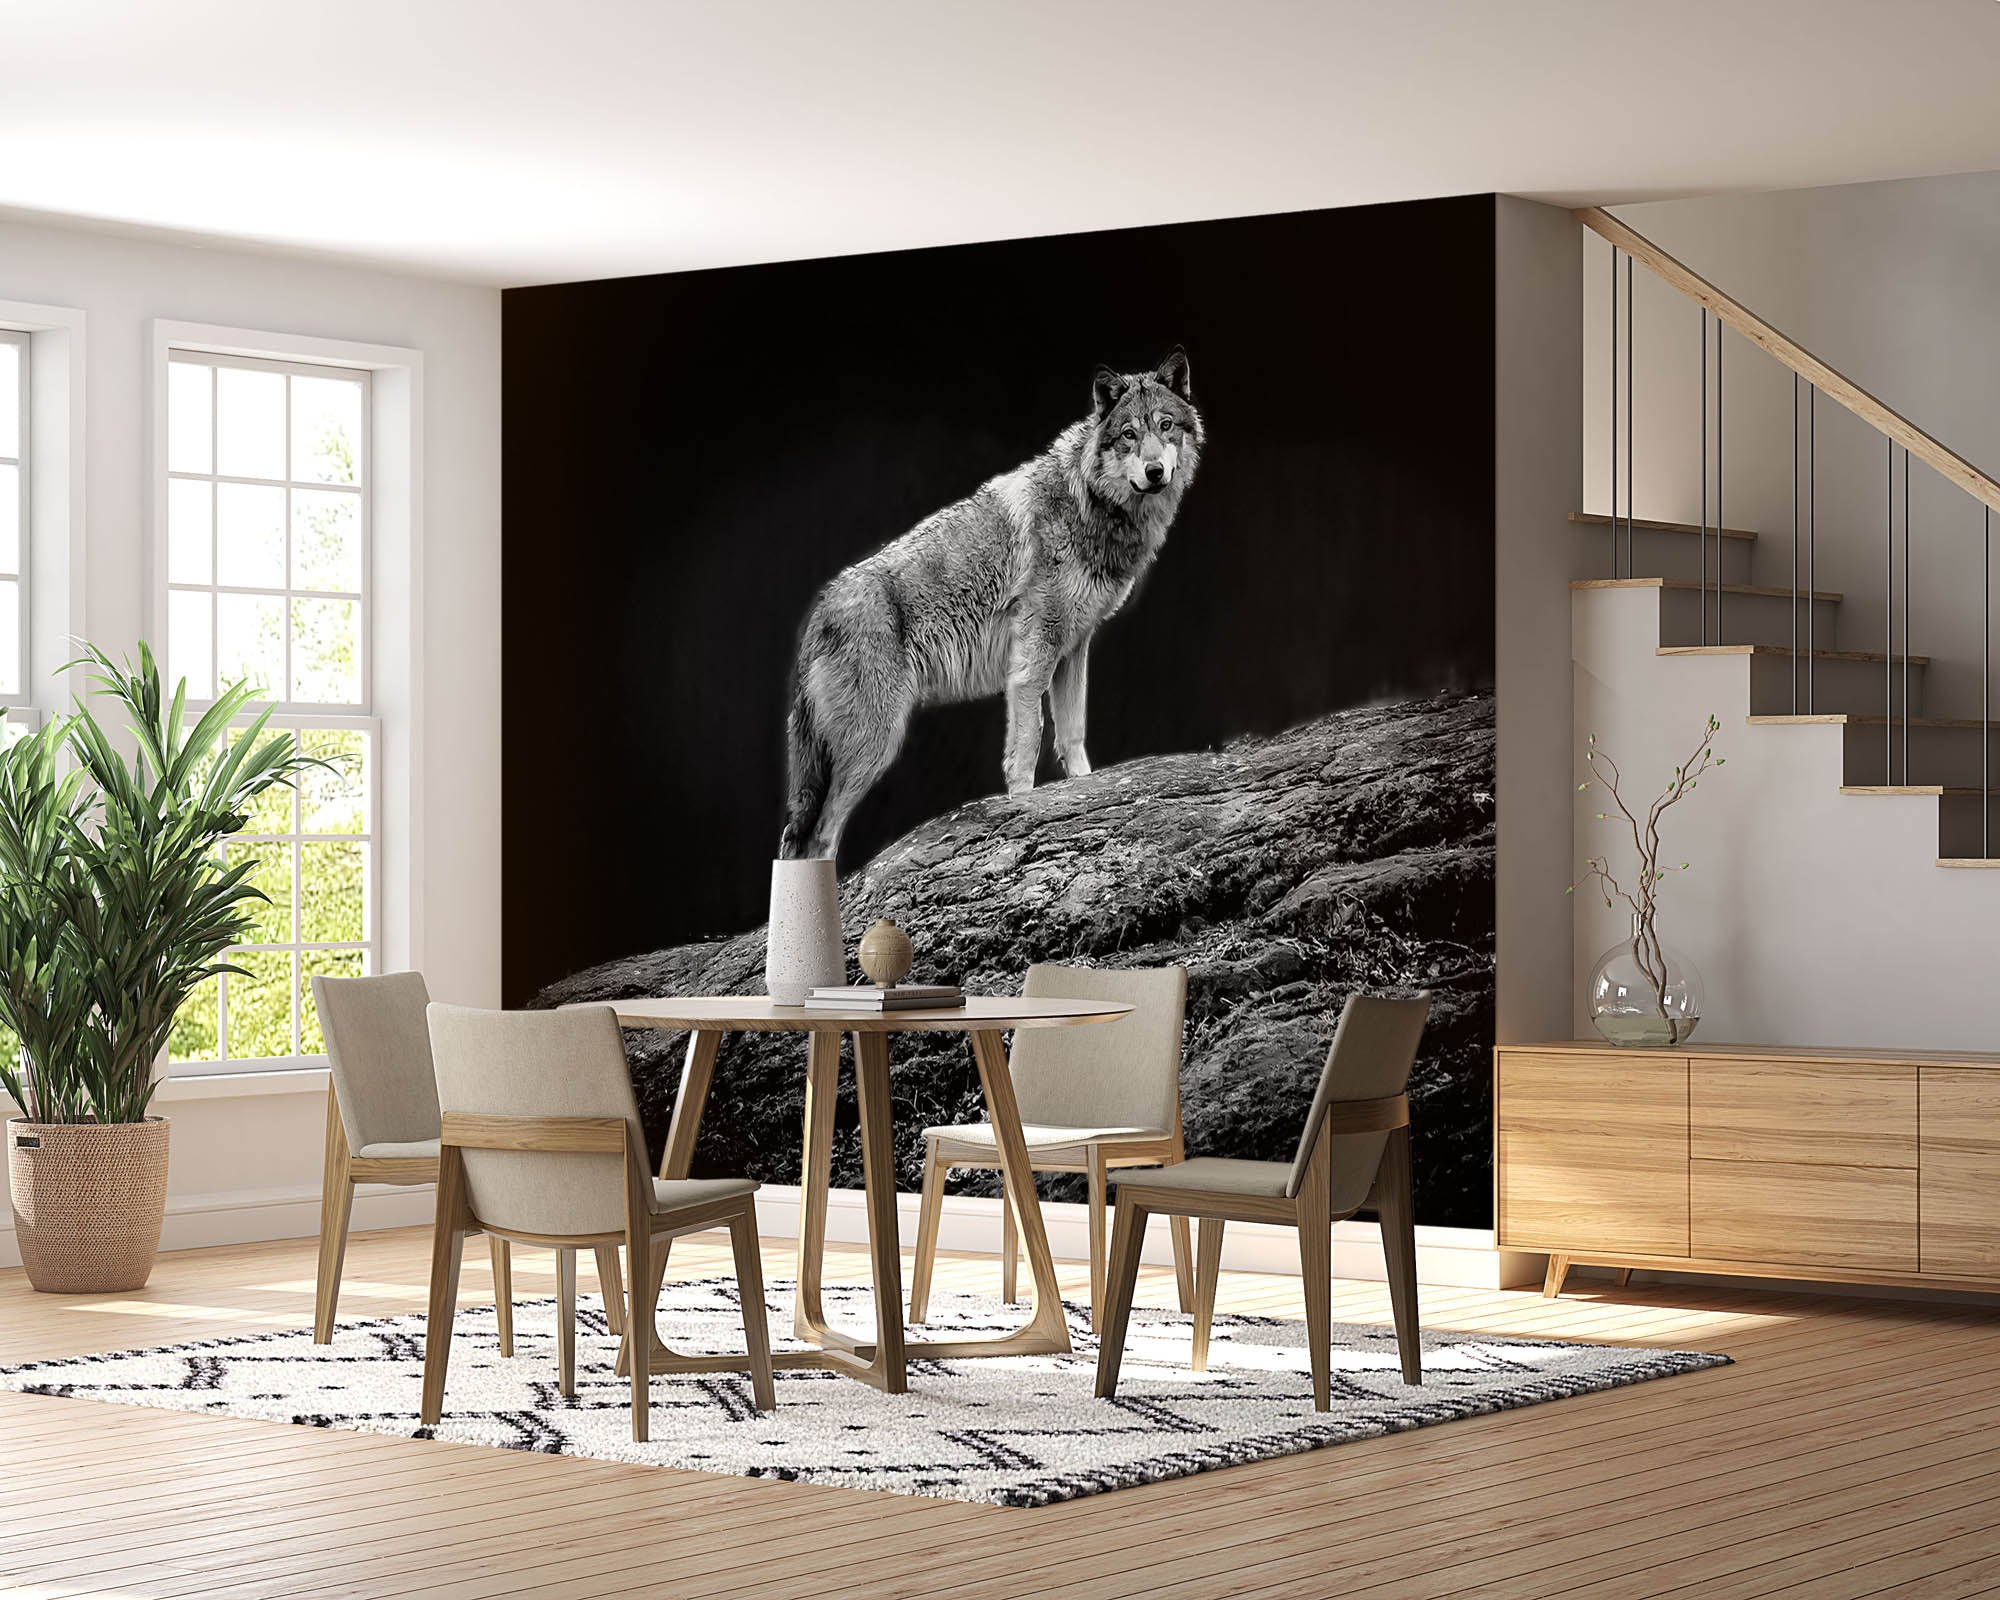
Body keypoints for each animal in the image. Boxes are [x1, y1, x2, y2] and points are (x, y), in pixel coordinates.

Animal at [779, 348, 1204, 862]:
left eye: (1166, 426)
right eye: (1128, 434)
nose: (1155, 472)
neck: (1089, 501)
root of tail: (819, 611)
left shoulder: (1073, 650)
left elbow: (1073, 734)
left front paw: (1084, 791)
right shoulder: (1031, 661)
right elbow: (1027, 744)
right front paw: (1022, 808)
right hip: (874, 746)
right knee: (818, 837)